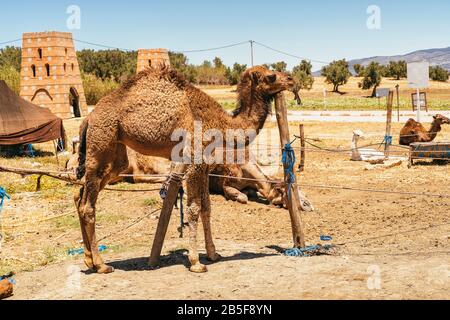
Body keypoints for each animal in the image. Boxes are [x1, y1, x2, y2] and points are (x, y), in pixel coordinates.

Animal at [74, 66, 296, 274]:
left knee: (80, 196)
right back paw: (102, 265)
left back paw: (88, 260)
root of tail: (89, 118)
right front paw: (196, 262)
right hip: (101, 143)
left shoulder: (205, 166)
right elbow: (194, 209)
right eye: (271, 76)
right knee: (88, 206)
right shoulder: (195, 163)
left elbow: (207, 207)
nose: (291, 80)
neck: (221, 124)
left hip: (116, 156)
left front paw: (213, 254)